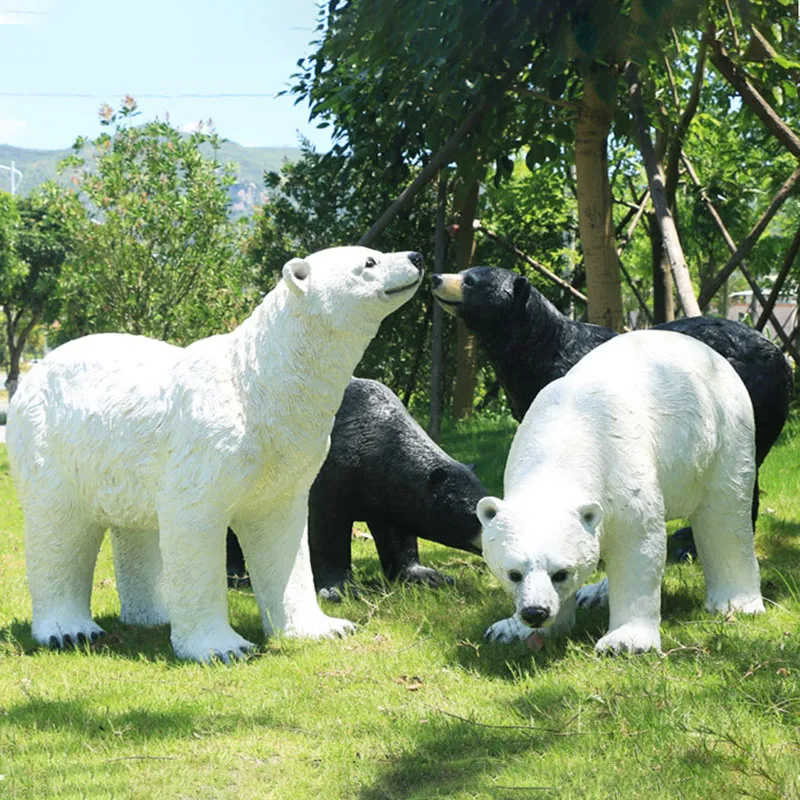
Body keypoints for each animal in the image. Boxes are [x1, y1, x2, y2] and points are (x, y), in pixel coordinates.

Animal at [7, 246, 424, 663]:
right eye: (369, 262)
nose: (416, 257)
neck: (257, 384)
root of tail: (33, 373)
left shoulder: (288, 457)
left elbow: (282, 534)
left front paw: (324, 627)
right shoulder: (208, 444)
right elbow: (193, 526)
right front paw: (222, 646)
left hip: (124, 450)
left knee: (135, 522)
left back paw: (154, 615)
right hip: (49, 440)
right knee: (59, 527)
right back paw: (69, 630)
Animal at [226, 377, 485, 601]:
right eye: (478, 514)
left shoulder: (387, 490)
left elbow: (396, 532)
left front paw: (429, 575)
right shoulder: (332, 469)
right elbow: (326, 525)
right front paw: (339, 589)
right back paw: (237, 577)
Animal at [431, 266, 793, 563]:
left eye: (470, 280)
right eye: (464, 270)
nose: (436, 277)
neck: (541, 349)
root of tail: (783, 359)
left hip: (750, 397)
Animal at [477, 330, 765, 654]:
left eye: (560, 573)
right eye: (513, 573)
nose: (535, 613)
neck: (563, 441)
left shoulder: (622, 470)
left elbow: (637, 547)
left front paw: (625, 642)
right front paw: (509, 629)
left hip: (725, 431)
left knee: (725, 514)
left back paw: (736, 602)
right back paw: (594, 594)